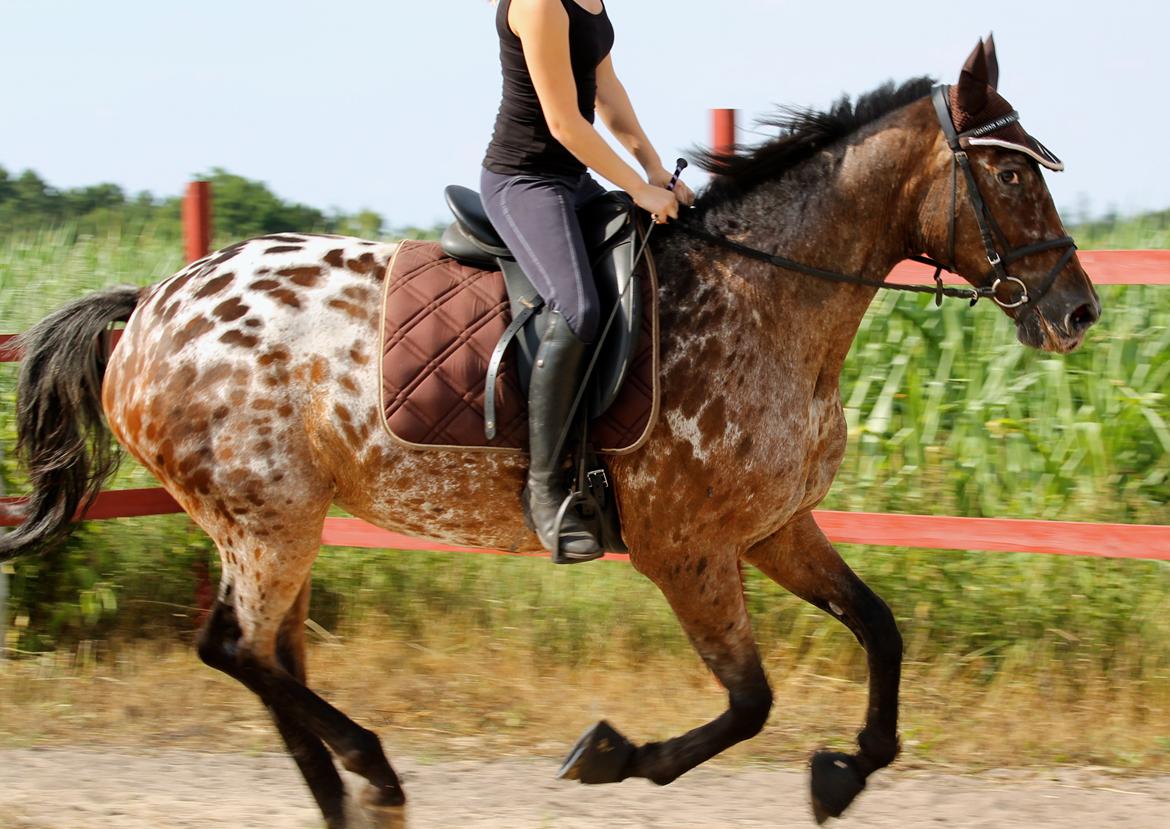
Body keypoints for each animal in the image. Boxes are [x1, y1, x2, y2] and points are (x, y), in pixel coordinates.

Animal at [0, 37, 1095, 823]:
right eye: (1009, 177)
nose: (1077, 310)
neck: (762, 297)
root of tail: (149, 304)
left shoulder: (775, 528)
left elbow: (879, 627)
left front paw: (845, 770)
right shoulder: (686, 549)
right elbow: (750, 701)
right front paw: (613, 756)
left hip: (281, 526)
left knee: (269, 659)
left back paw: (351, 795)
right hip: (264, 522)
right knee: (234, 647)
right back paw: (376, 768)